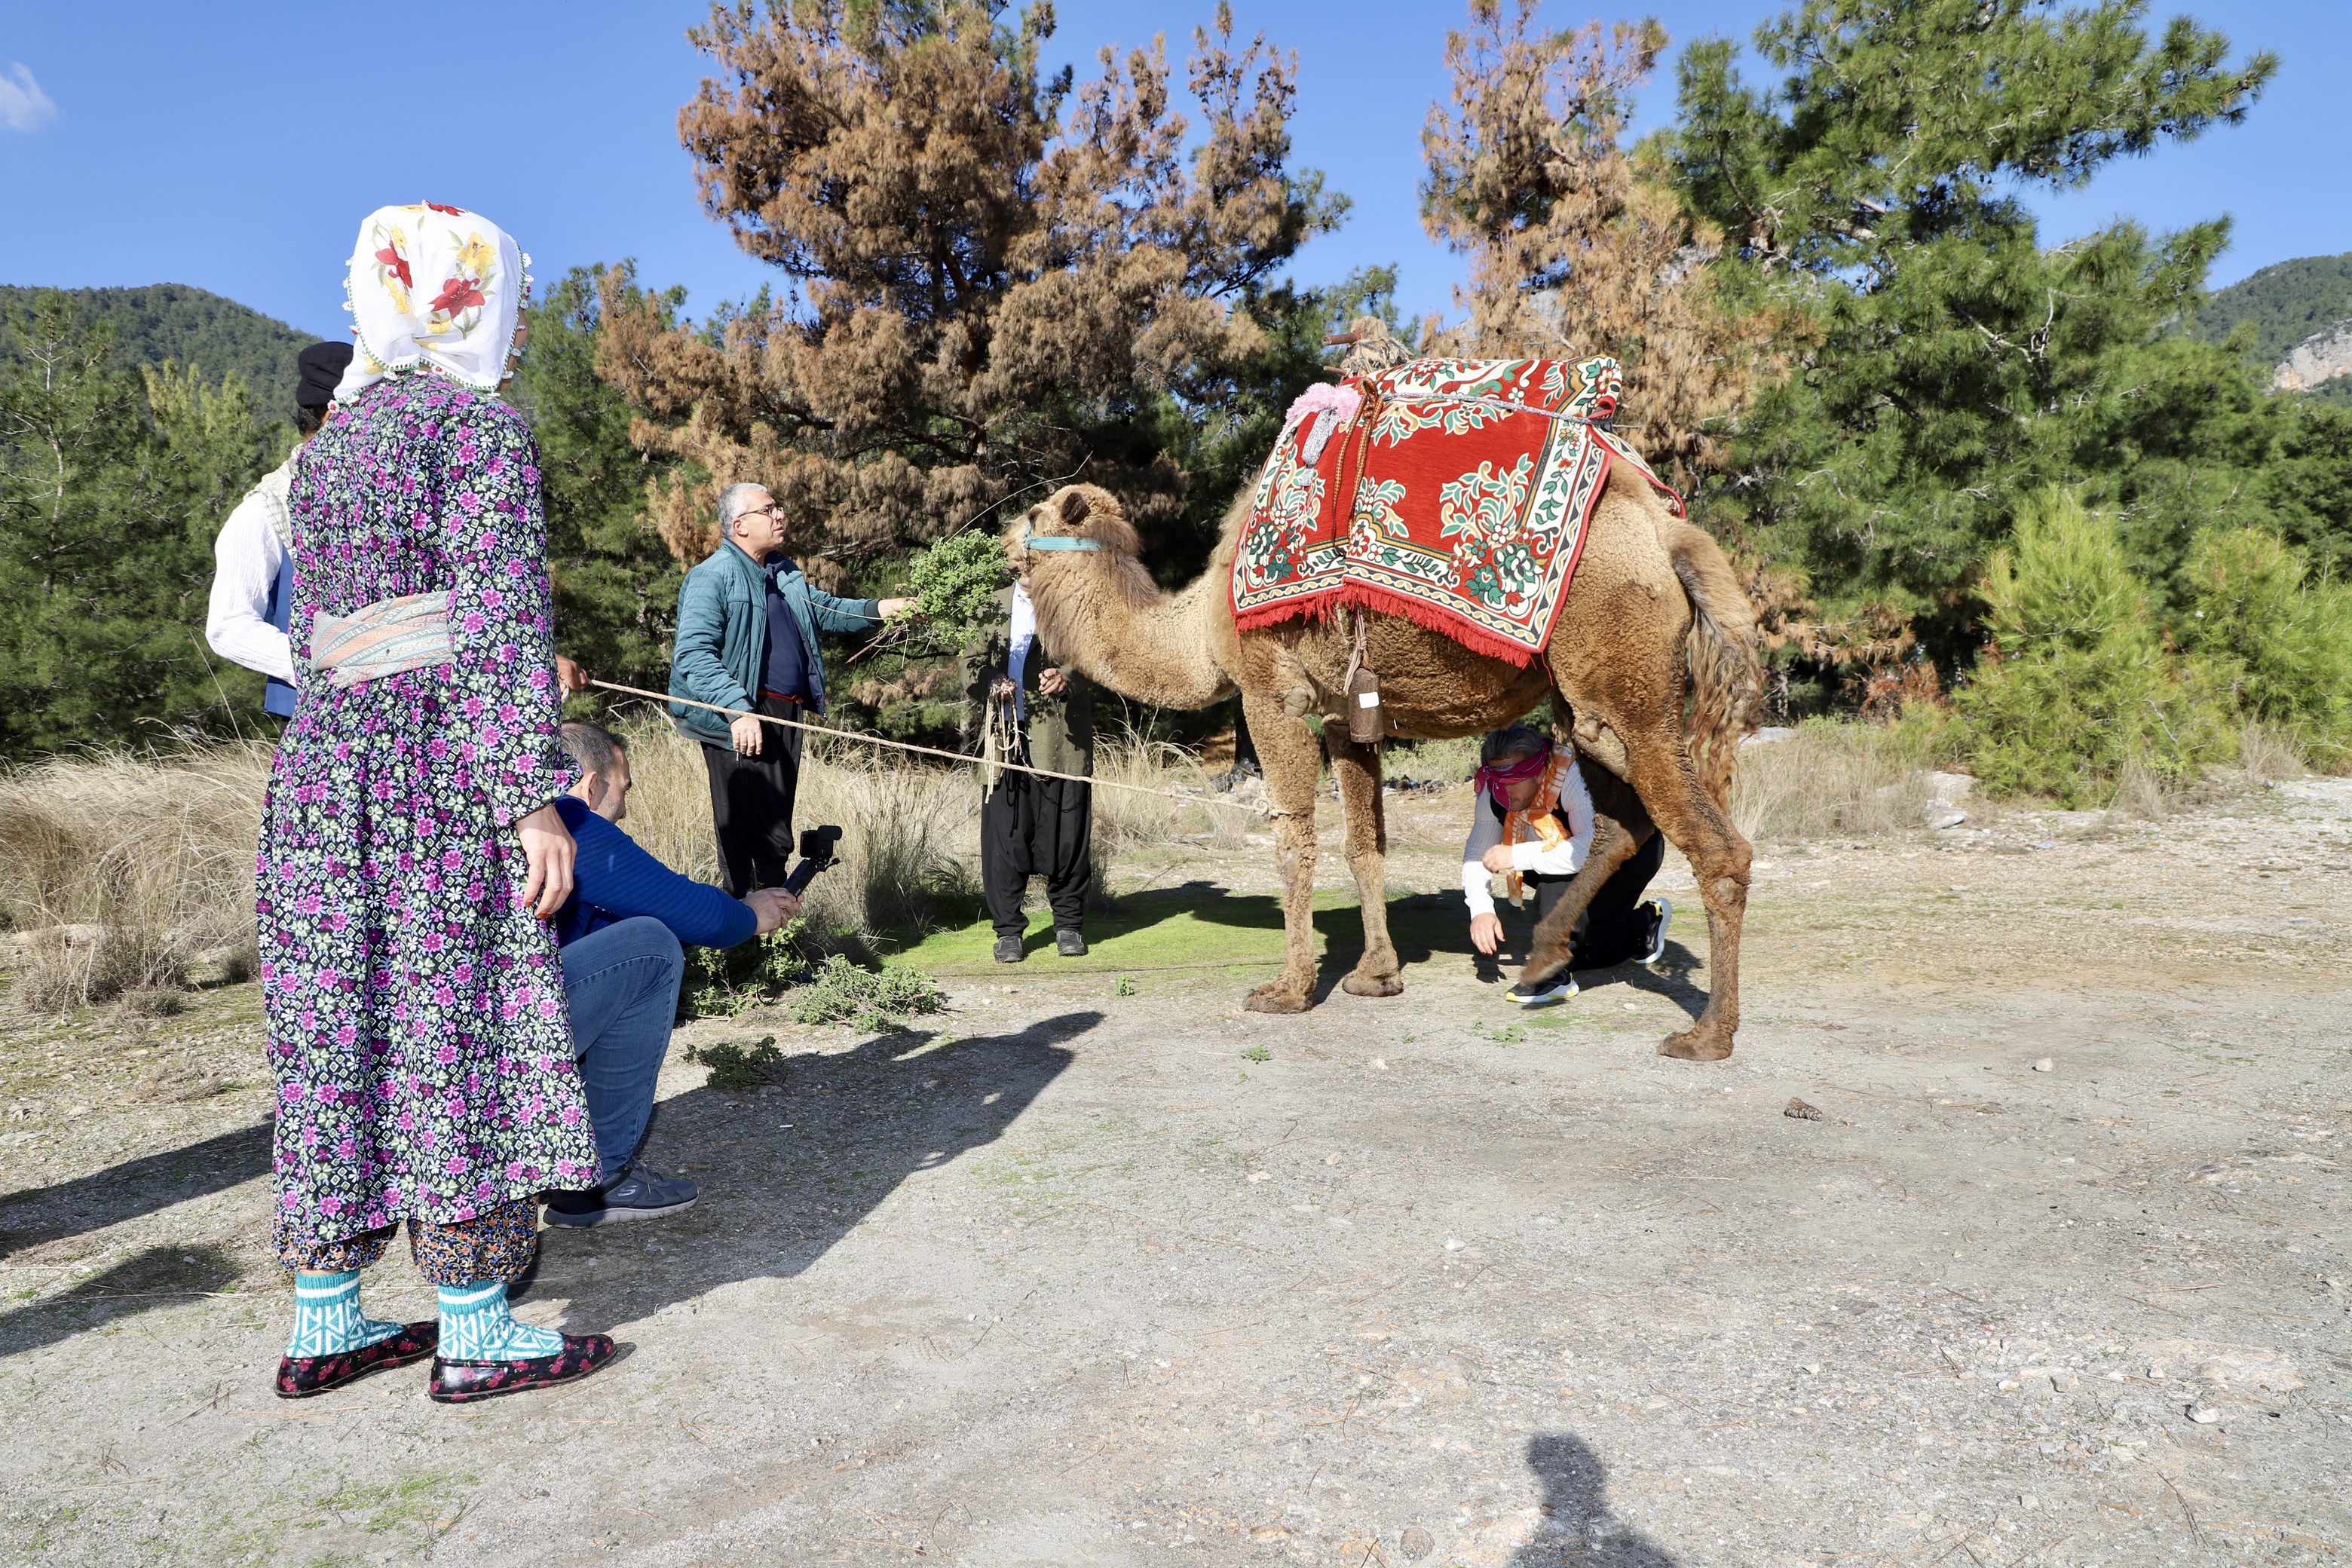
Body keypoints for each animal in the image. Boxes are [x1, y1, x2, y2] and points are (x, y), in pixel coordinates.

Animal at [1011, 461, 1769, 1062]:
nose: (1002, 538)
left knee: (1716, 847)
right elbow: (1365, 844)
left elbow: (1294, 843)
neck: (1199, 628)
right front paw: (1377, 975)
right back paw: (1548, 954)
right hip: (1588, 704)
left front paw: (1287, 990)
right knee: (1619, 826)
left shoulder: (1271, 693)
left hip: (1622, 682)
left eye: (1033, 513)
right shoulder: (1345, 715)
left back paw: (1707, 1035)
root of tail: (1670, 539)